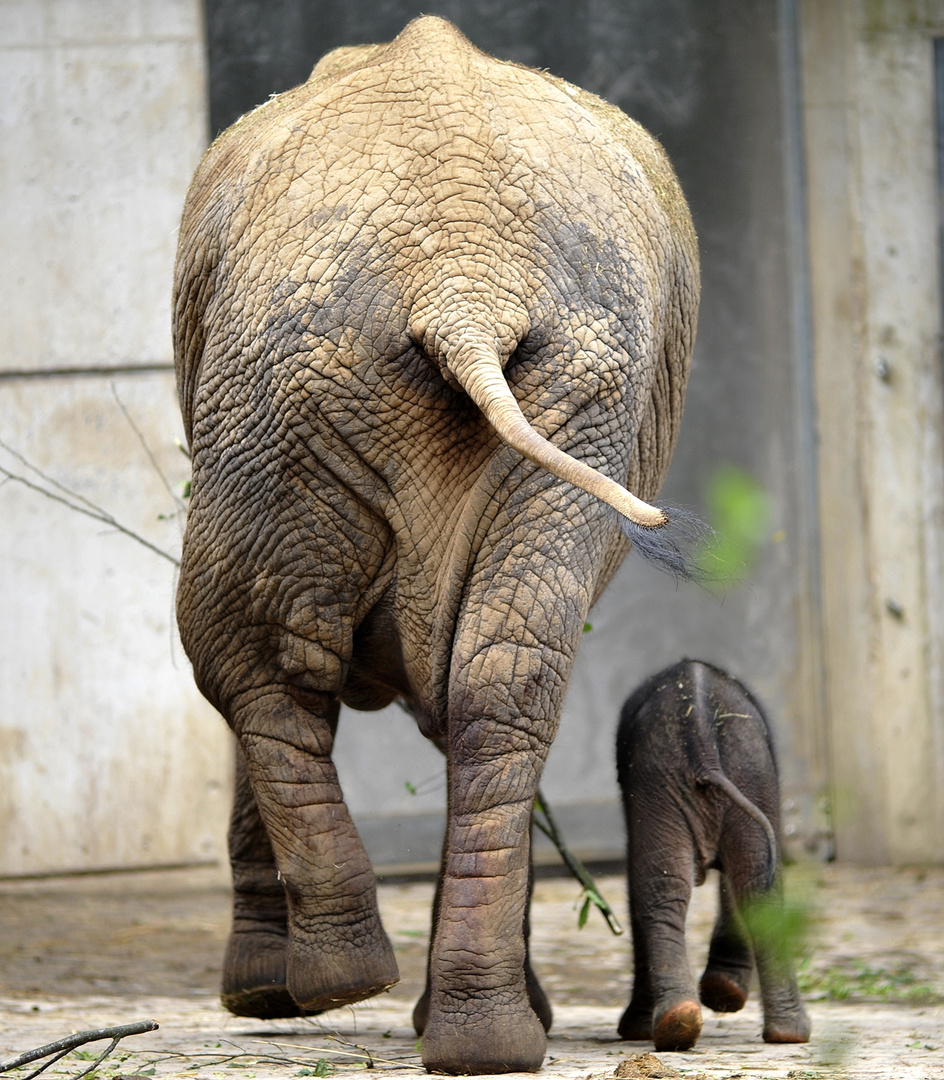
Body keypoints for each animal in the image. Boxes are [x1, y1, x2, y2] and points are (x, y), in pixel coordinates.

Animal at [172, 14, 695, 1071]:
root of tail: (465, 286)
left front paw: (266, 999)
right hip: (572, 386)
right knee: (502, 677)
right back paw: (482, 1041)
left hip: (282, 377)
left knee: (237, 648)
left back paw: (334, 984)